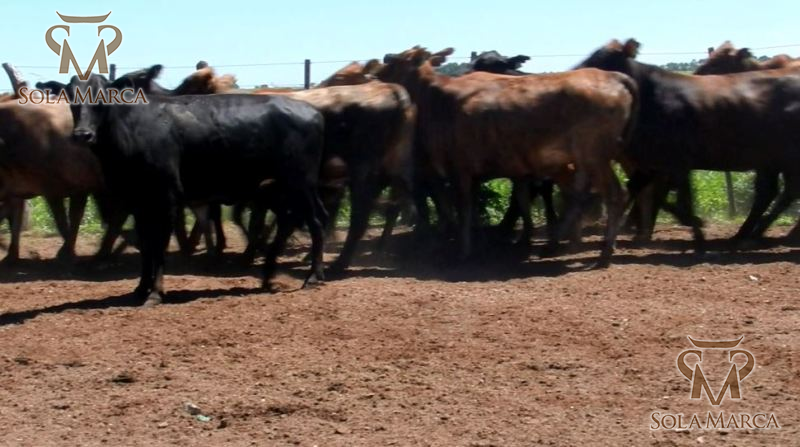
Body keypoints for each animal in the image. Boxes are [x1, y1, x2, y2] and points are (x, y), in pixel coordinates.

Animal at [46, 73, 326, 305]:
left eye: (102, 96)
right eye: (71, 97)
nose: (83, 134)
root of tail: (312, 112)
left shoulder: (167, 198)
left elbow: (159, 245)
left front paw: (155, 293)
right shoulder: (138, 202)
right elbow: (146, 245)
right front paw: (141, 288)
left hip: (300, 182)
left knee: (314, 222)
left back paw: (312, 276)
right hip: (283, 188)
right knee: (290, 222)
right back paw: (268, 275)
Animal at [373, 46, 638, 266]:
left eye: (397, 59)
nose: (380, 64)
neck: (438, 99)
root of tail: (614, 77)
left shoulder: (460, 168)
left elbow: (462, 208)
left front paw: (463, 250)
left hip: (594, 155)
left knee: (614, 194)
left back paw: (604, 252)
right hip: (581, 160)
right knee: (579, 195)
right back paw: (557, 245)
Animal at [577, 39, 800, 252]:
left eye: (603, 60)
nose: (578, 74)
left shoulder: (675, 162)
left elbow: (673, 198)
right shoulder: (655, 164)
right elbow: (647, 192)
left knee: (777, 192)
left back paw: (754, 235)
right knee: (774, 192)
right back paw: (749, 234)